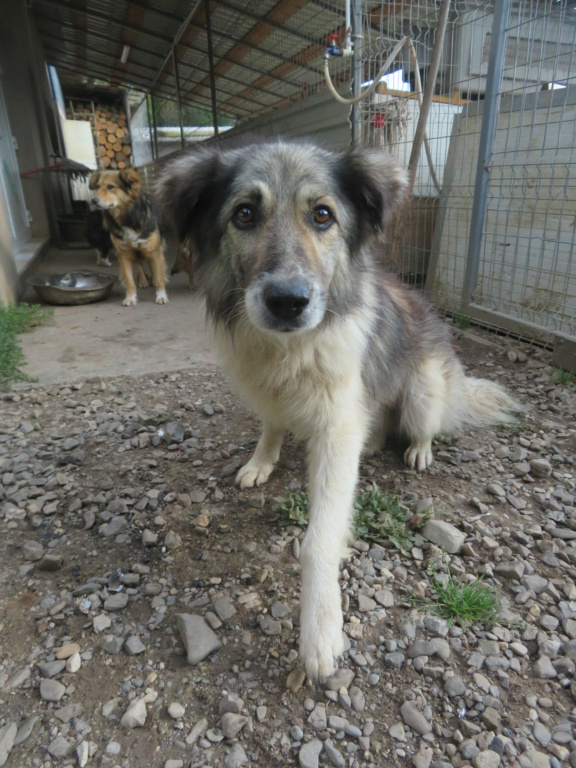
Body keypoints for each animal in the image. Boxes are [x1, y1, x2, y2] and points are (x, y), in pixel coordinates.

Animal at [88, 170, 169, 308]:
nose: (93, 201)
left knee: (150, 263)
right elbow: (129, 280)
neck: (127, 218)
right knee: (138, 263)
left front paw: (161, 295)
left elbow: (159, 275)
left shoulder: (154, 250)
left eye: (110, 186)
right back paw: (143, 280)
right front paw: (130, 297)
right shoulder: (123, 253)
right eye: (97, 187)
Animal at [159, 141, 520, 680]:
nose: (288, 301)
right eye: (244, 213)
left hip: (424, 391)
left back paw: (419, 450)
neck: (289, 351)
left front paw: (320, 630)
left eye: (322, 215)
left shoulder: (336, 427)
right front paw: (261, 462)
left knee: (423, 424)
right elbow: (271, 425)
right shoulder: (268, 392)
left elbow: (319, 539)